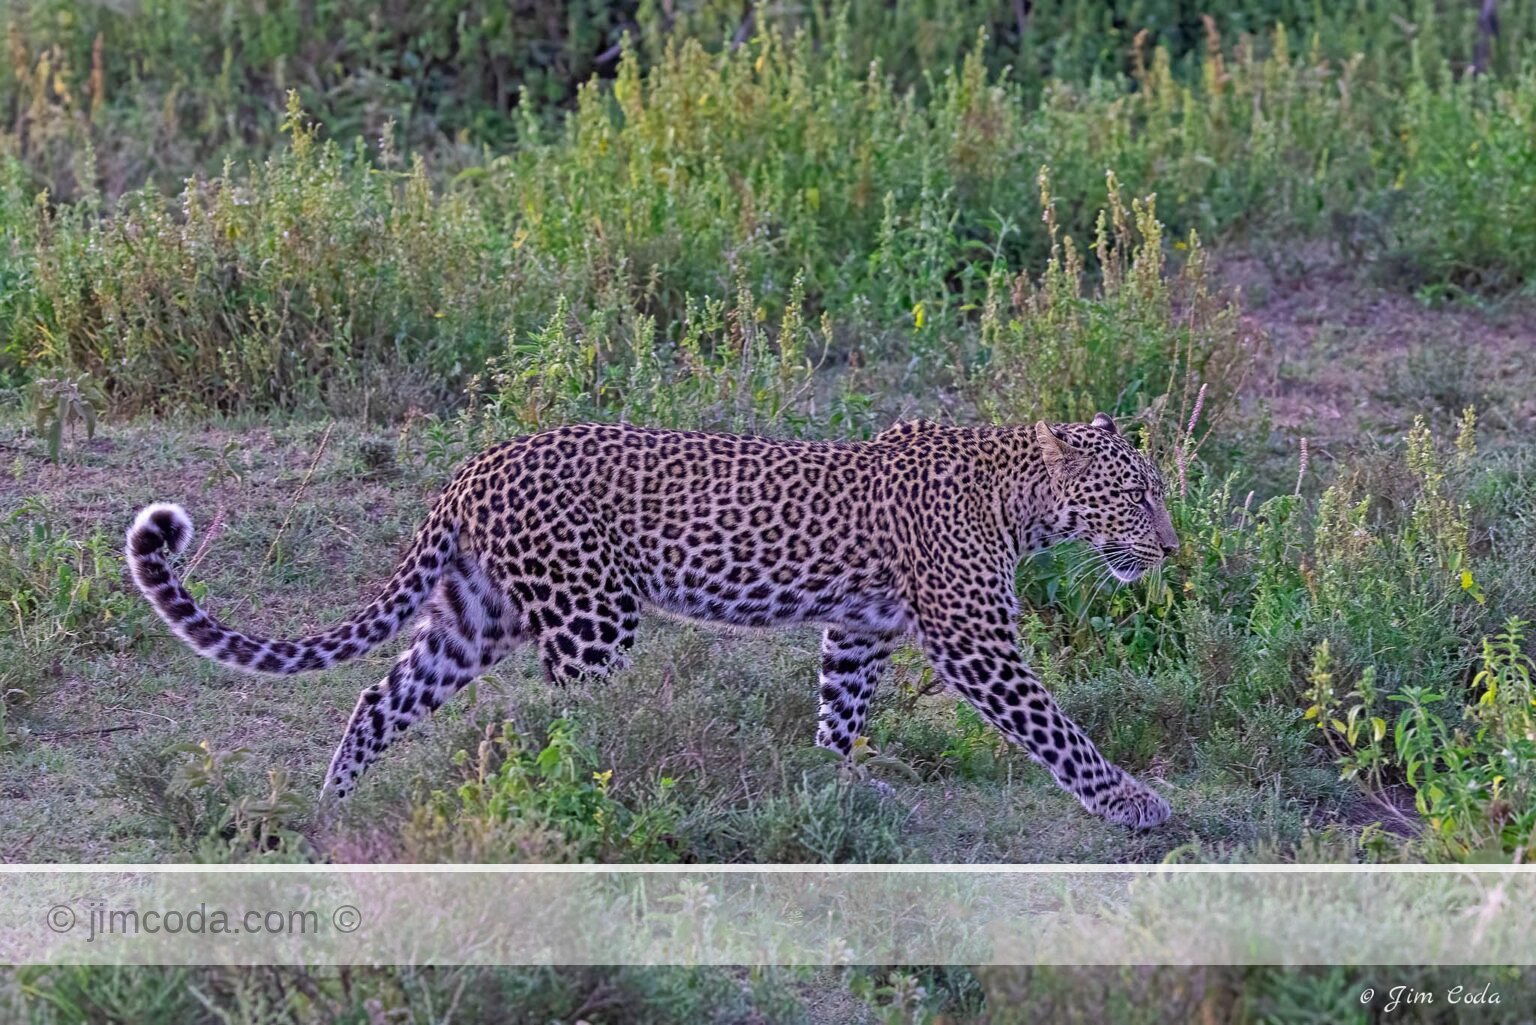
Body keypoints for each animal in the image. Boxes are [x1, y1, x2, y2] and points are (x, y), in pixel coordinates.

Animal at [126, 412, 1179, 829]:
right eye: (1136, 495)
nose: (1172, 549)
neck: (1020, 497)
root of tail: (473, 466)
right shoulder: (974, 638)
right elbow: (1055, 726)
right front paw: (1130, 802)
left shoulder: (858, 629)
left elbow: (839, 710)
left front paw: (834, 788)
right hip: (591, 616)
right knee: (571, 722)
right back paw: (608, 796)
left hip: (477, 617)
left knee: (380, 694)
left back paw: (331, 808)